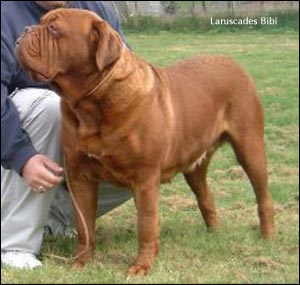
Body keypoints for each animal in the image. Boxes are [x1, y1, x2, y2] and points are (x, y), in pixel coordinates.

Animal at [15, 8, 276, 274]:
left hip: (250, 147)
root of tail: (232, 62)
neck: (93, 103)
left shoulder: (145, 178)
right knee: (205, 196)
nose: (24, 31)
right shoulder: (80, 176)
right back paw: (214, 234)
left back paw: (268, 237)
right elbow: (84, 225)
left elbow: (146, 224)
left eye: (53, 29)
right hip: (194, 166)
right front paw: (81, 262)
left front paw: (142, 266)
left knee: (263, 196)